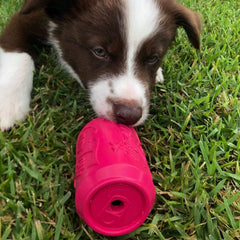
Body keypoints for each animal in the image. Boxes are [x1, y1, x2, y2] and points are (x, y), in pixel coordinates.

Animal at [0, 0, 202, 130]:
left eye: (153, 58)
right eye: (99, 51)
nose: (128, 115)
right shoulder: (24, 18)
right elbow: (17, 52)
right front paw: (8, 103)